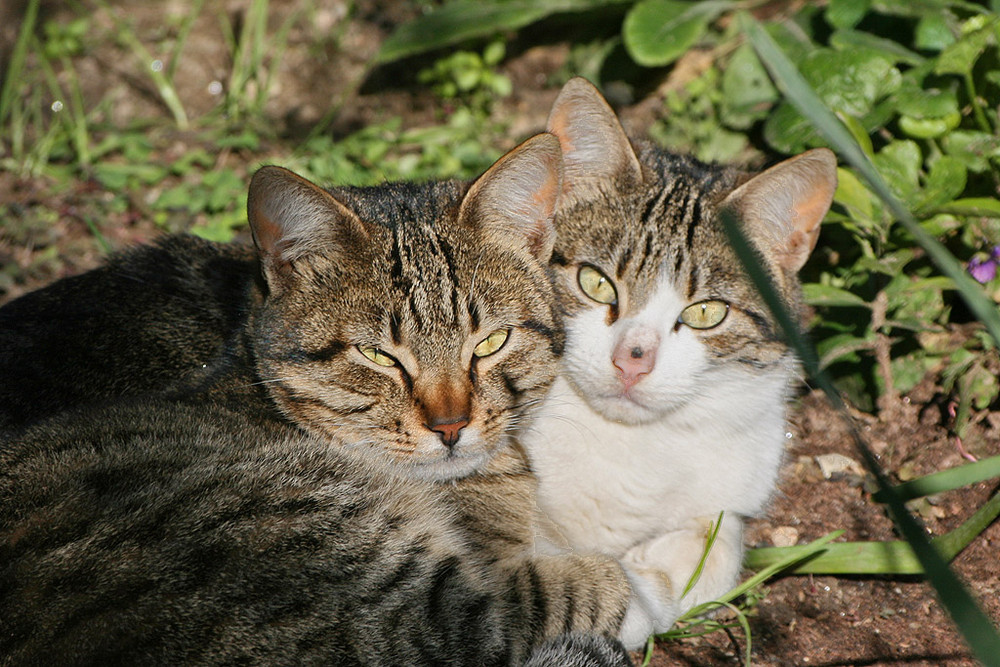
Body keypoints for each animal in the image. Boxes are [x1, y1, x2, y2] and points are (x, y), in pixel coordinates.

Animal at [528, 78, 840, 648]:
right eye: (595, 281)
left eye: (706, 312)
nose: (632, 360)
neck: (629, 444)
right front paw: (633, 593)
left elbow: (722, 541)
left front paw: (662, 572)